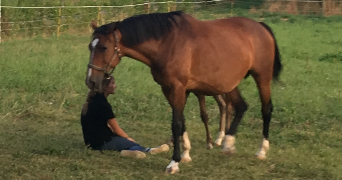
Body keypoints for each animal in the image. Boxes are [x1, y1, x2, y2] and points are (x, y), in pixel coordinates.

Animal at [86, 10, 284, 173]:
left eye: (104, 47)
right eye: (90, 47)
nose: (91, 81)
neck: (167, 43)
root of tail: (260, 26)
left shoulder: (178, 88)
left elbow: (177, 124)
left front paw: (174, 163)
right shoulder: (172, 89)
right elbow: (182, 121)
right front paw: (186, 154)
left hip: (262, 78)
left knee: (266, 109)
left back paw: (261, 151)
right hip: (229, 84)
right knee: (240, 107)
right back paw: (228, 144)